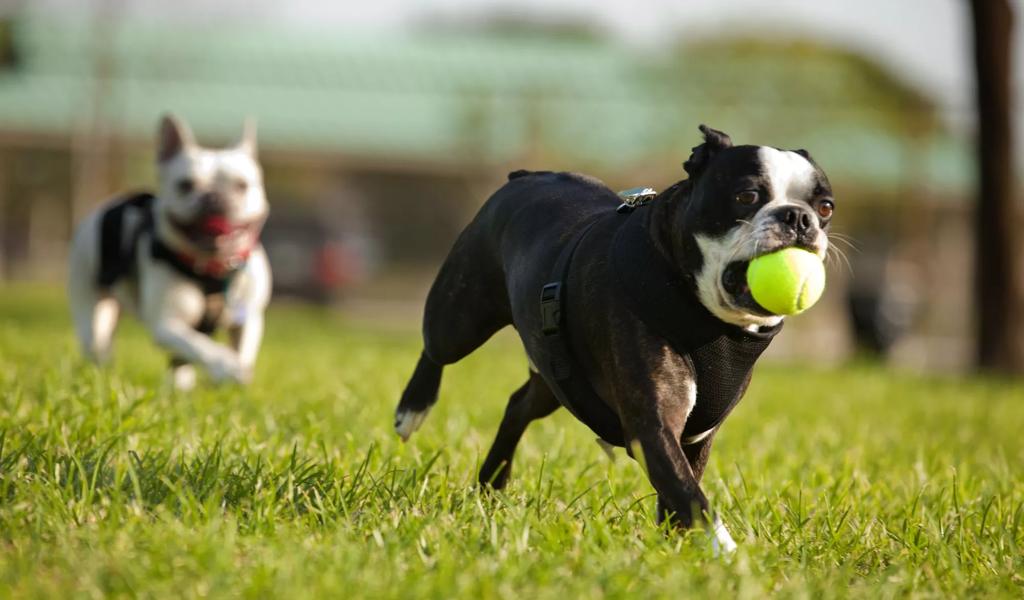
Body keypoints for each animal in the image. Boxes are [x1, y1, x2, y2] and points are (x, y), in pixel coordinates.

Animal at [70, 114, 274, 389]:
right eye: (185, 185)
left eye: (241, 185)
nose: (213, 197)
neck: (211, 268)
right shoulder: (166, 324)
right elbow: (200, 346)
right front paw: (224, 365)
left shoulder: (249, 319)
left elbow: (242, 349)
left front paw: (235, 375)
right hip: (90, 305)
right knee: (97, 343)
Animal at [395, 125, 835, 552]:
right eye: (747, 196)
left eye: (826, 208)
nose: (799, 218)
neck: (711, 322)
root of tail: (524, 176)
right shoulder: (653, 425)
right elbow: (690, 495)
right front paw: (726, 555)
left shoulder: (696, 437)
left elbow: (679, 492)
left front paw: (676, 548)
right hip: (462, 315)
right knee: (435, 348)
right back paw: (412, 409)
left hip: (558, 375)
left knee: (519, 404)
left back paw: (492, 483)